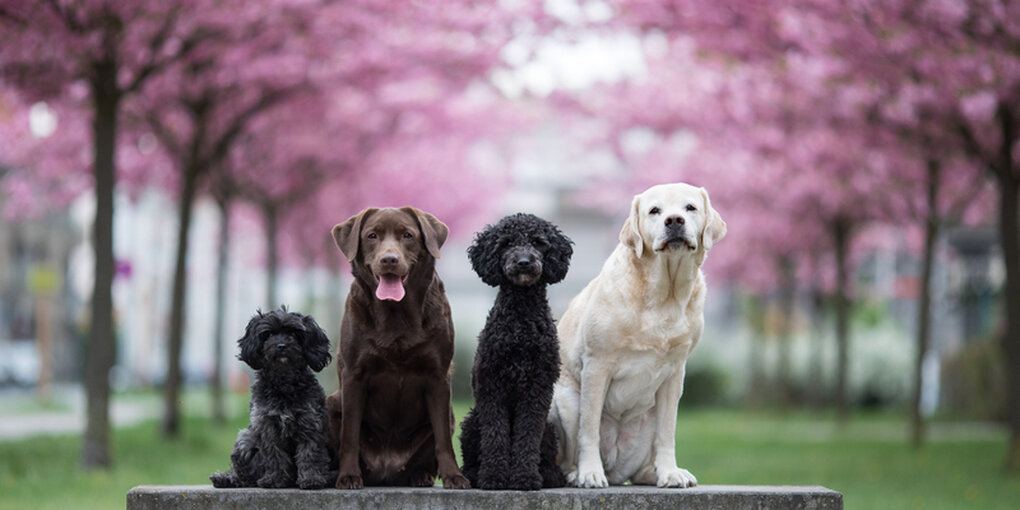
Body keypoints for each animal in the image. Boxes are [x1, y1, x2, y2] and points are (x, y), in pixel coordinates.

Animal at [209, 306, 332, 489]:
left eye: (294, 333)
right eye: (268, 334)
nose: (281, 346)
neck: (284, 384)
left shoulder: (310, 422)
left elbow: (310, 453)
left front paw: (311, 479)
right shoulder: (267, 425)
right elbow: (274, 455)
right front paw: (274, 479)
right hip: (246, 439)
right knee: (245, 475)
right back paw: (226, 478)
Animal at [461, 212, 575, 489]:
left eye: (537, 242)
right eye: (507, 243)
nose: (524, 262)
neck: (521, 322)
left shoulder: (537, 388)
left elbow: (527, 435)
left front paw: (525, 477)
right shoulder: (491, 386)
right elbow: (496, 434)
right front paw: (493, 477)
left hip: (549, 429)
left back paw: (550, 476)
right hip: (471, 423)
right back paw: (472, 474)